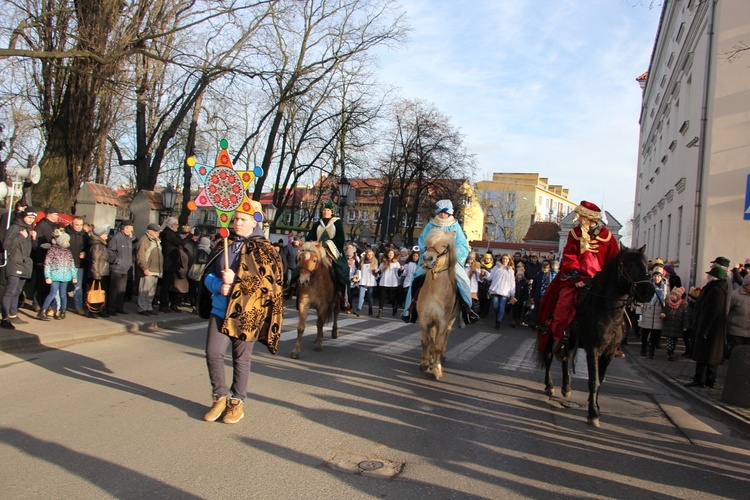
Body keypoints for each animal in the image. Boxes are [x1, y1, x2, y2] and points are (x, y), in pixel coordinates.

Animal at [418, 229, 458, 380]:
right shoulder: (424, 319)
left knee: (445, 337)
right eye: (428, 243)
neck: (434, 291)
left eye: (444, 245)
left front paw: (437, 369)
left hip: (451, 321)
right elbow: (426, 341)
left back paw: (441, 357)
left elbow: (438, 346)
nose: (427, 258)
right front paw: (425, 363)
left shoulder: (443, 322)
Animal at [536, 244, 656, 428]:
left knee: (564, 359)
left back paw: (566, 387)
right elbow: (594, 380)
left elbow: (601, 378)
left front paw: (596, 406)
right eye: (629, 265)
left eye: (645, 265)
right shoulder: (593, 348)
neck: (608, 311)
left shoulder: (609, 352)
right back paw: (549, 385)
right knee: (549, 356)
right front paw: (592, 414)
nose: (648, 292)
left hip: (570, 339)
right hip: (551, 333)